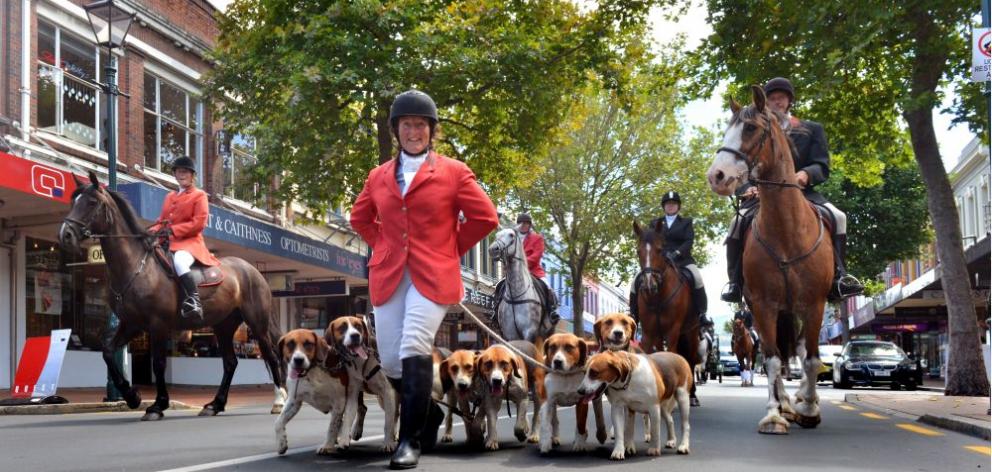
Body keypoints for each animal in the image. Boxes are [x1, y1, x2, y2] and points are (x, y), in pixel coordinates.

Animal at [60, 172, 286, 420]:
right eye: (73, 201)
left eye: (91, 202)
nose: (65, 234)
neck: (136, 266)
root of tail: (253, 270)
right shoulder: (131, 323)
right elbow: (108, 352)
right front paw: (132, 395)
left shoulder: (157, 324)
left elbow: (158, 363)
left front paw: (157, 405)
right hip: (224, 325)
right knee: (230, 362)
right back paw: (214, 405)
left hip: (257, 323)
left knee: (271, 356)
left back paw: (278, 401)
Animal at [632, 218, 700, 406]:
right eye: (638, 251)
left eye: (660, 250)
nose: (649, 284)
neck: (657, 296)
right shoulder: (649, 333)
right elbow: (650, 356)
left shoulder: (672, 331)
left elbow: (674, 356)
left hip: (691, 333)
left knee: (690, 359)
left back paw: (692, 395)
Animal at [700, 85, 832, 436]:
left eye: (750, 128)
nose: (717, 176)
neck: (786, 230)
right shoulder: (763, 304)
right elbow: (772, 360)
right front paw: (774, 414)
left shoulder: (814, 303)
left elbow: (811, 358)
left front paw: (809, 409)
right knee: (782, 357)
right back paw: (786, 403)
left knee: (799, 352)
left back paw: (801, 401)